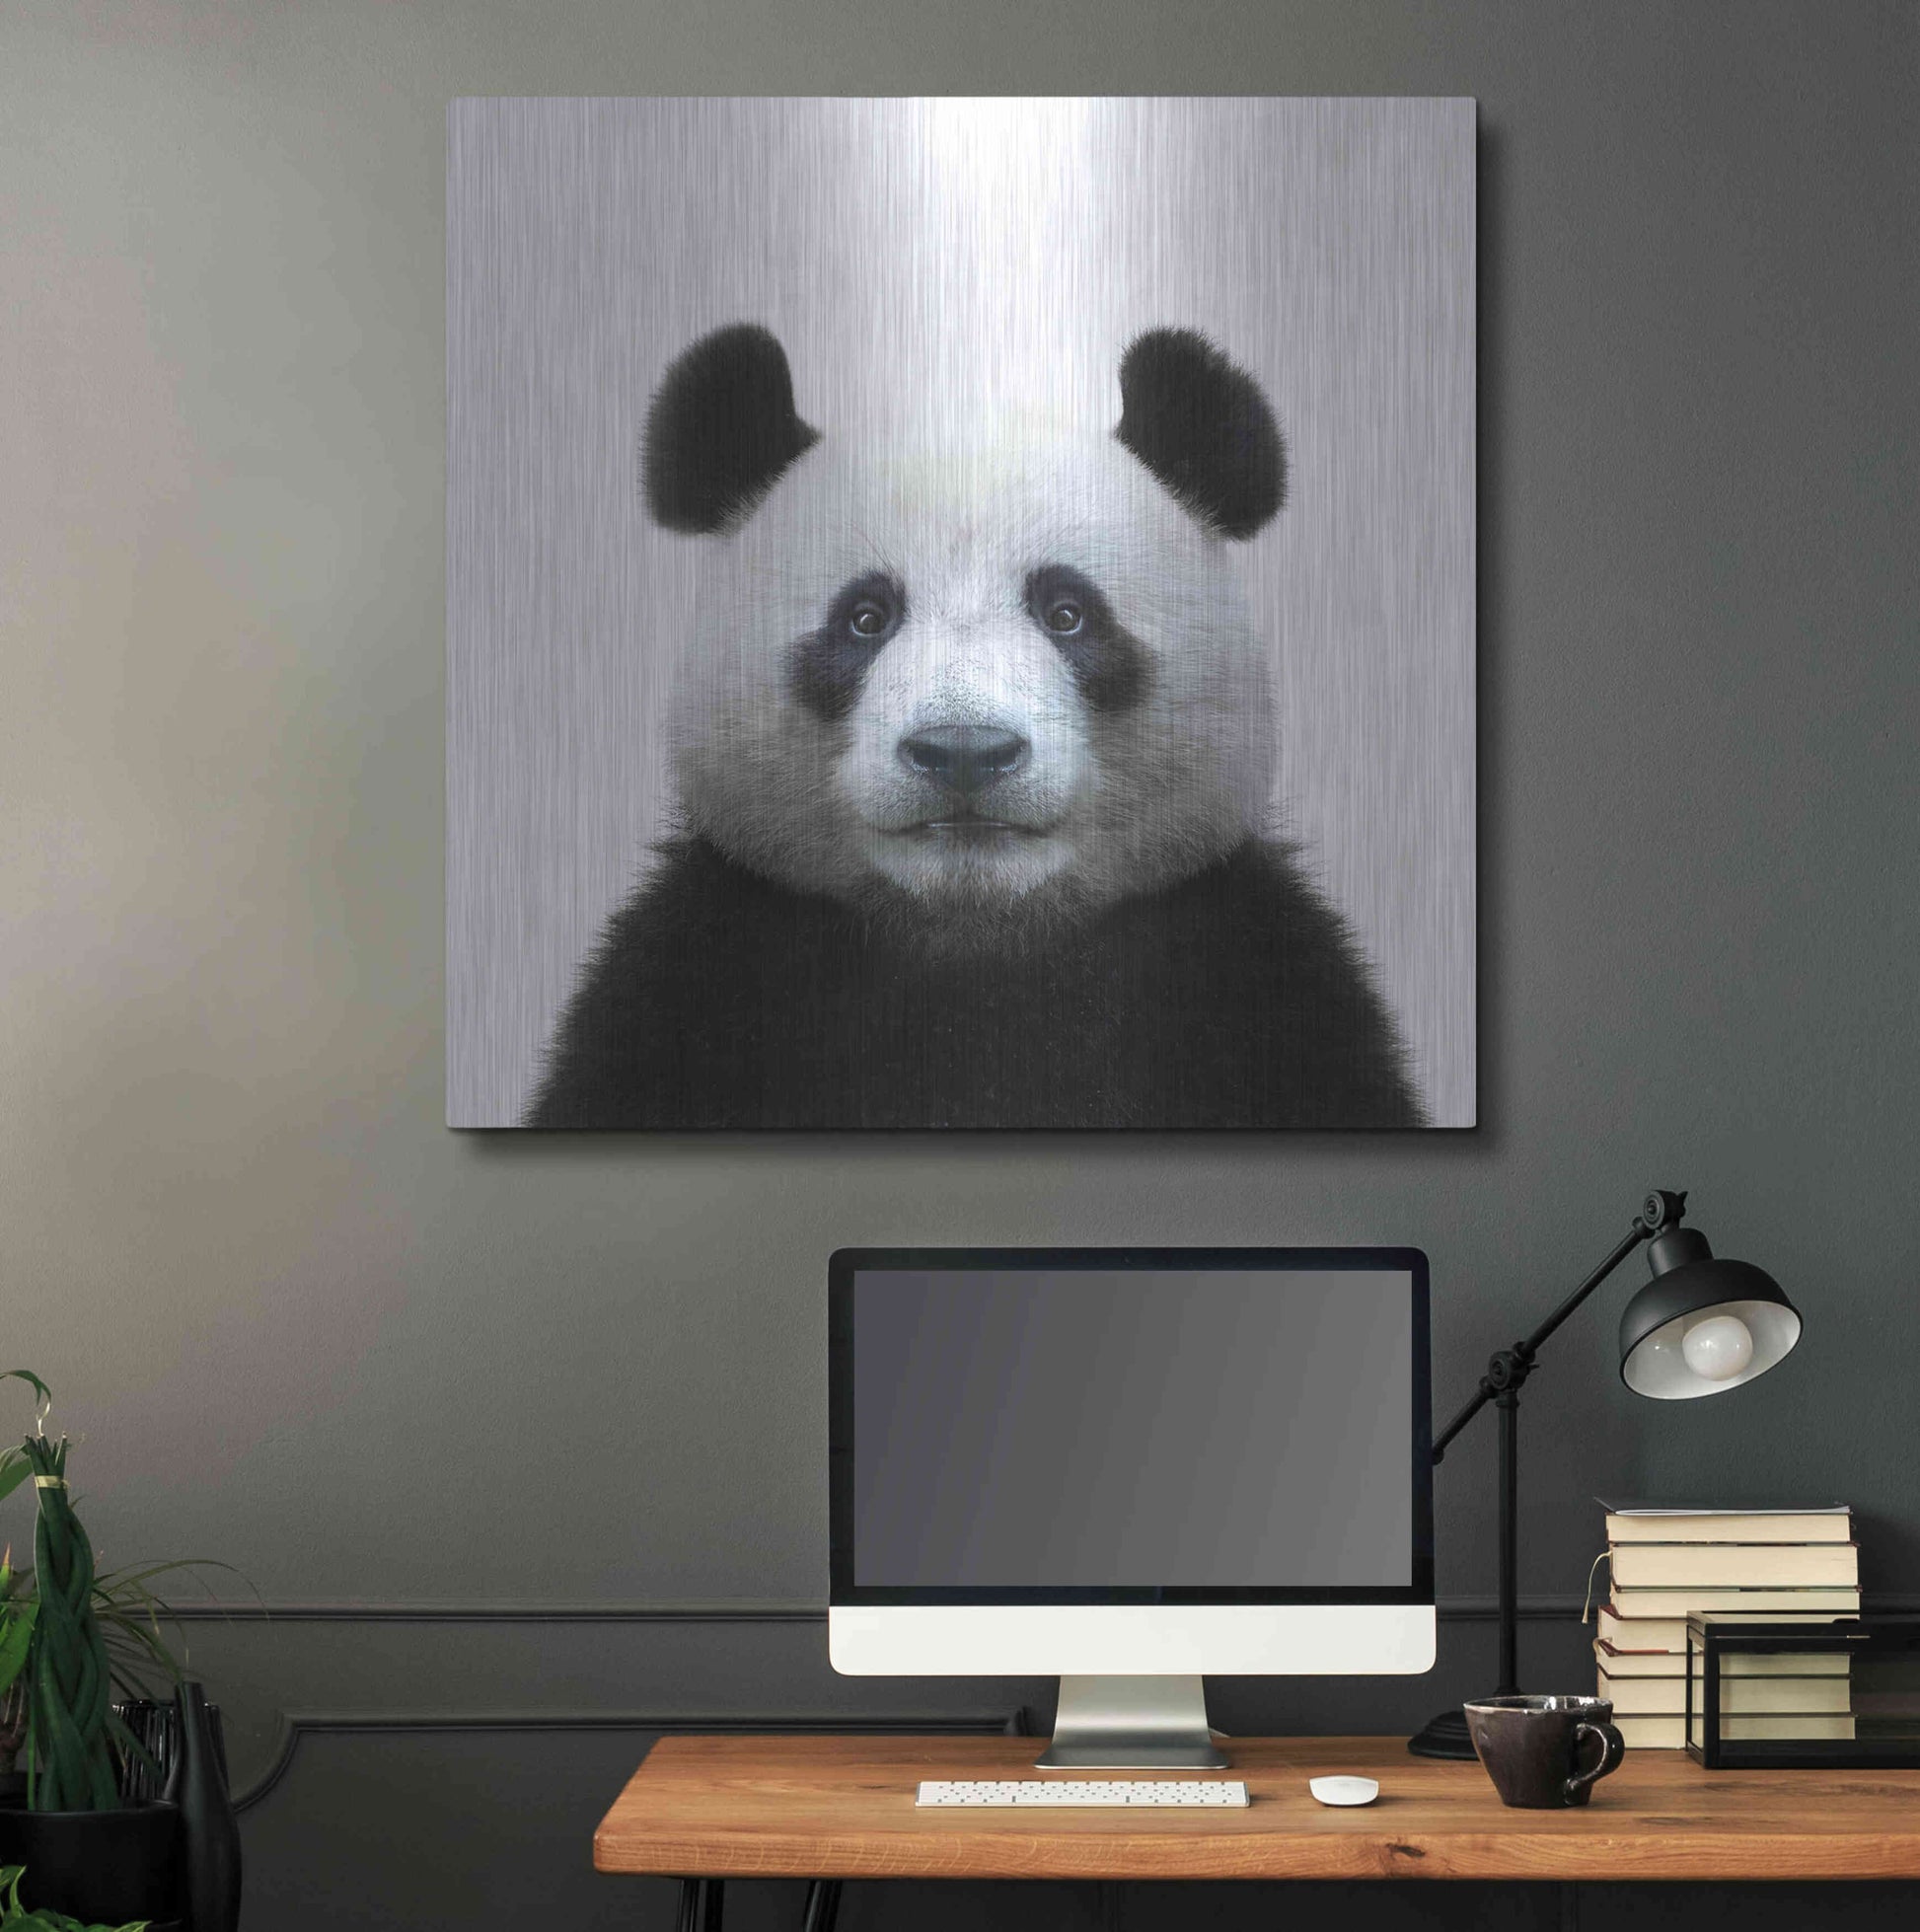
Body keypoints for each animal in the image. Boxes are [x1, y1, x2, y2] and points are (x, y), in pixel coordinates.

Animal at [526, 323, 1424, 1130]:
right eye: (865, 618)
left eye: (1067, 613)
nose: (964, 753)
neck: (975, 943)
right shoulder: (695, 982)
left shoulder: (1254, 983)